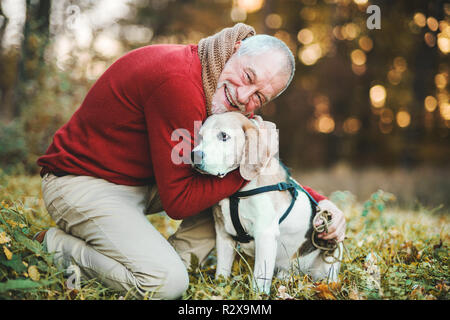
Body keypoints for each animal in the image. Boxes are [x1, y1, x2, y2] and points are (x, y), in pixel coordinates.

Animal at [192, 112, 342, 296]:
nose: (194, 155)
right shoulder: (223, 234)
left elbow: (259, 279)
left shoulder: (265, 234)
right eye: (200, 136)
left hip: (329, 260)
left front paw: (258, 295)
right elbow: (222, 273)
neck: (240, 192)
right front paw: (219, 292)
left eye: (224, 136)